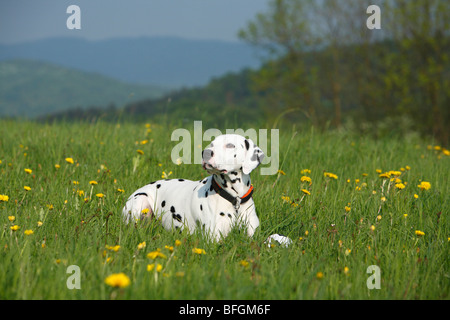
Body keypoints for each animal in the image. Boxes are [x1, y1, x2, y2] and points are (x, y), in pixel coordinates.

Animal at [121, 134, 266, 241]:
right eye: (212, 144)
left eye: (230, 145)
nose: (205, 153)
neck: (234, 199)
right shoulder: (214, 238)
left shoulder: (253, 235)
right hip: (141, 201)